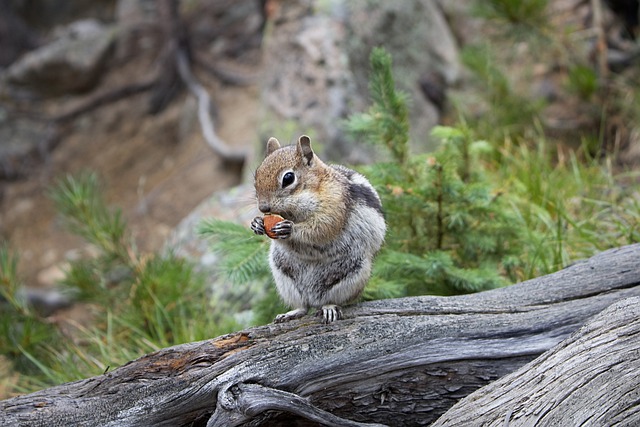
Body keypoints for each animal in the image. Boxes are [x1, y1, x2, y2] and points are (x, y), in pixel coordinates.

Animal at [250, 135, 384, 322]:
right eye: (256, 175)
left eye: (288, 178)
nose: (263, 208)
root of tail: (313, 298)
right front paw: (256, 223)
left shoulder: (334, 204)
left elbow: (321, 227)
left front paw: (289, 229)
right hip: (283, 274)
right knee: (303, 306)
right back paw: (291, 313)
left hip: (353, 273)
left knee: (329, 300)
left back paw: (329, 308)